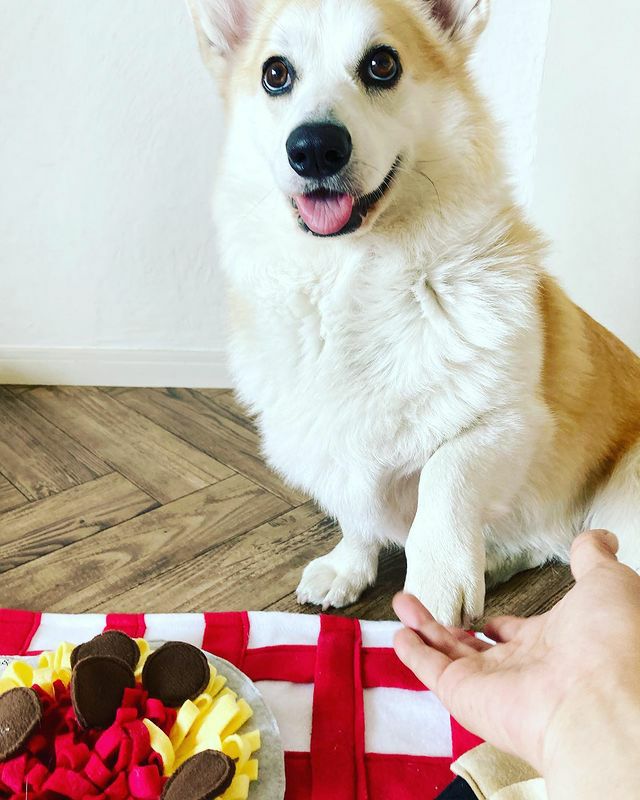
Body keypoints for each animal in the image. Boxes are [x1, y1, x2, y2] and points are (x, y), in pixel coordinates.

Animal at [186, 0, 640, 626]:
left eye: (382, 65)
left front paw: (438, 582)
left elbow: (444, 477)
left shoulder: (510, 424)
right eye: (275, 74)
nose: (314, 148)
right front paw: (348, 569)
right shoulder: (332, 450)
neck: (355, 279)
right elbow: (356, 515)